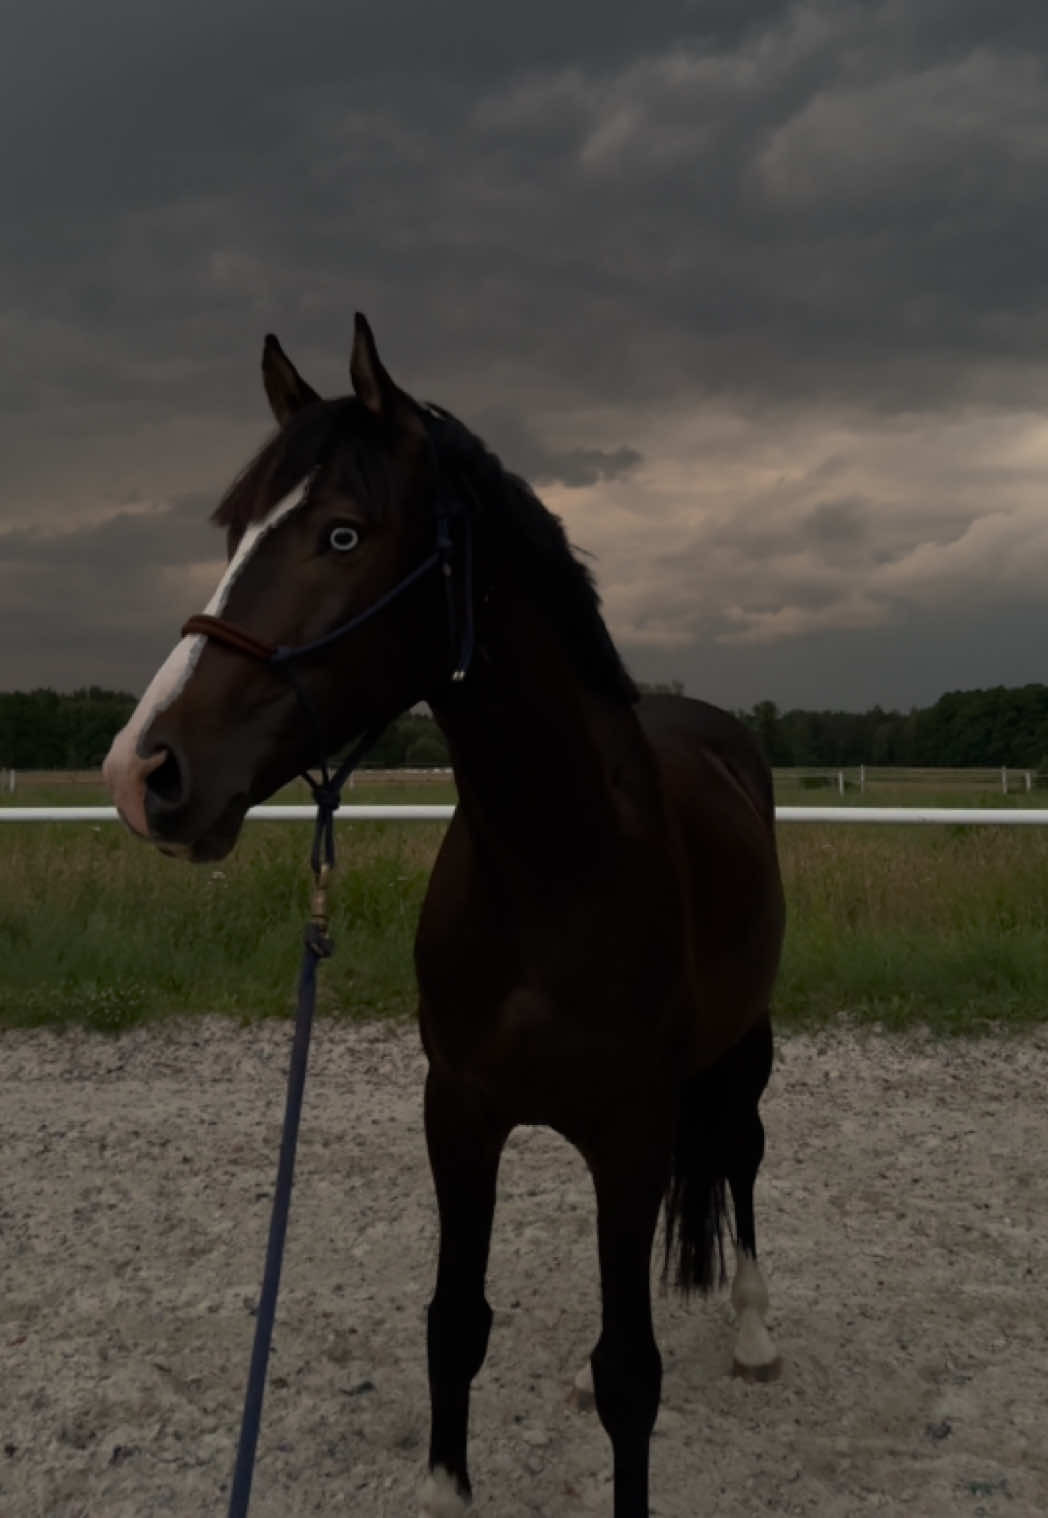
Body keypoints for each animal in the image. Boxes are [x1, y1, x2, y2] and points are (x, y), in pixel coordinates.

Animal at [102, 315, 786, 1517]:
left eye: (341, 532)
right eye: (236, 530)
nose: (145, 772)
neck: (557, 866)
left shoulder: (630, 1129)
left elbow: (633, 1377)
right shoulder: (459, 1114)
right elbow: (456, 1328)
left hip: (741, 1046)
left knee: (740, 1156)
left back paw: (751, 1334)